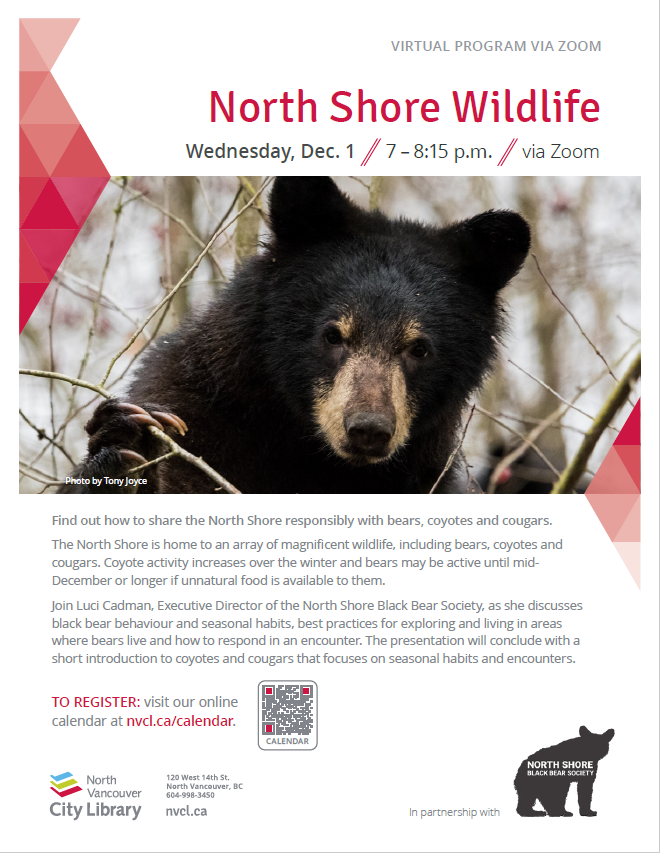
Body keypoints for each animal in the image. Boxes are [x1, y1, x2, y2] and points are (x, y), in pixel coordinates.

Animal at [60, 176, 530, 494]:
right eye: (333, 335)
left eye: (419, 348)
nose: (368, 429)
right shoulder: (200, 415)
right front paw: (127, 449)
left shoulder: (424, 476)